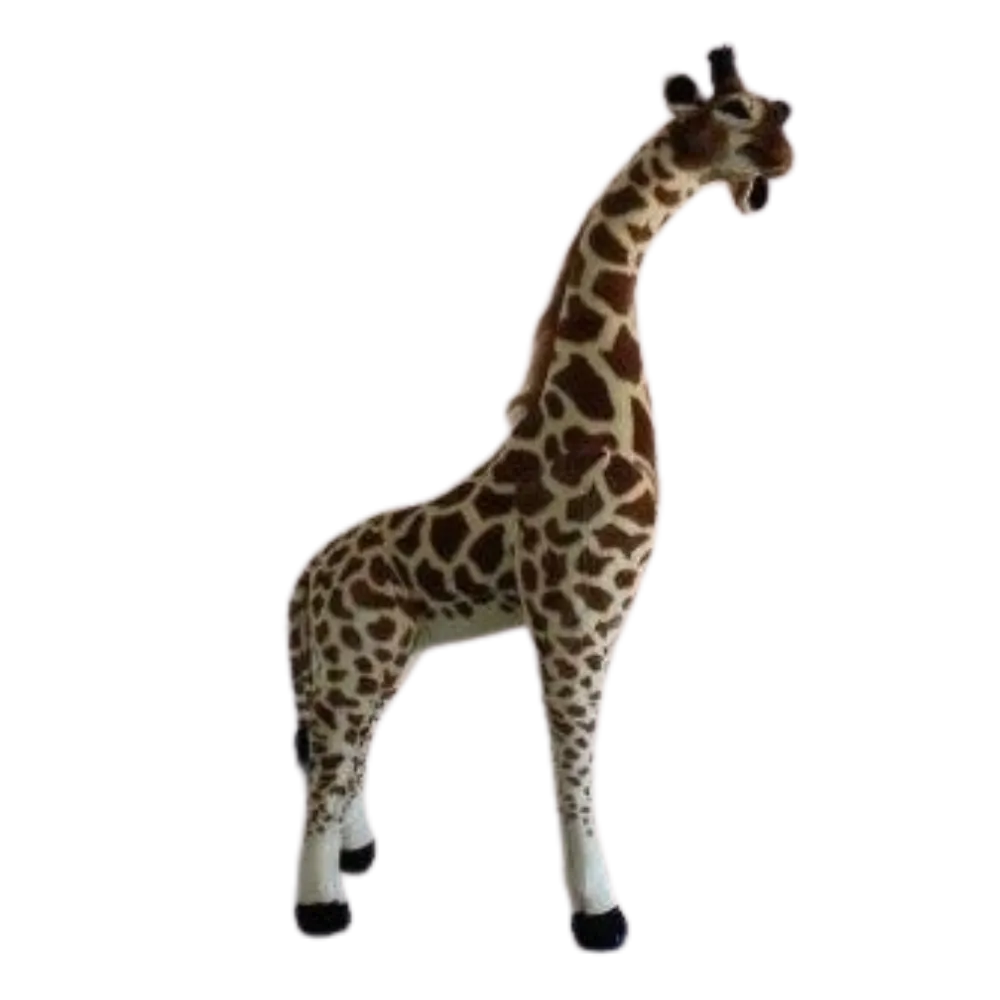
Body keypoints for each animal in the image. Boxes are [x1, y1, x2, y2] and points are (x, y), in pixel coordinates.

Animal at [281, 45, 797, 955]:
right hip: (354, 659)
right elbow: (575, 770)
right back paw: (323, 907)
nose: (790, 137)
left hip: (377, 659)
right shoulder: (573, 626)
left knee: (350, 757)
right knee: (327, 769)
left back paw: (357, 859)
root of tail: (306, 574)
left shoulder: (605, 628)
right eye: (738, 108)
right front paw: (598, 915)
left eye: (765, 103)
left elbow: (576, 762)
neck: (588, 415)